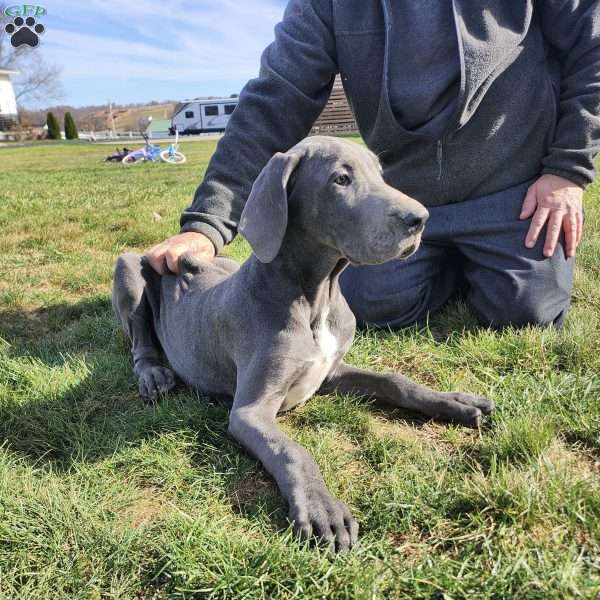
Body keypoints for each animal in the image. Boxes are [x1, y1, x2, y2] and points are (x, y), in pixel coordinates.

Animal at [111, 136, 492, 552]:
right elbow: (293, 451)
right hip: (130, 265)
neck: (316, 297)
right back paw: (153, 375)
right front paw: (321, 507)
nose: (420, 219)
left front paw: (454, 402)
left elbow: (395, 380)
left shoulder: (331, 371)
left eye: (379, 173)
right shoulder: (250, 412)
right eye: (341, 179)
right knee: (140, 339)